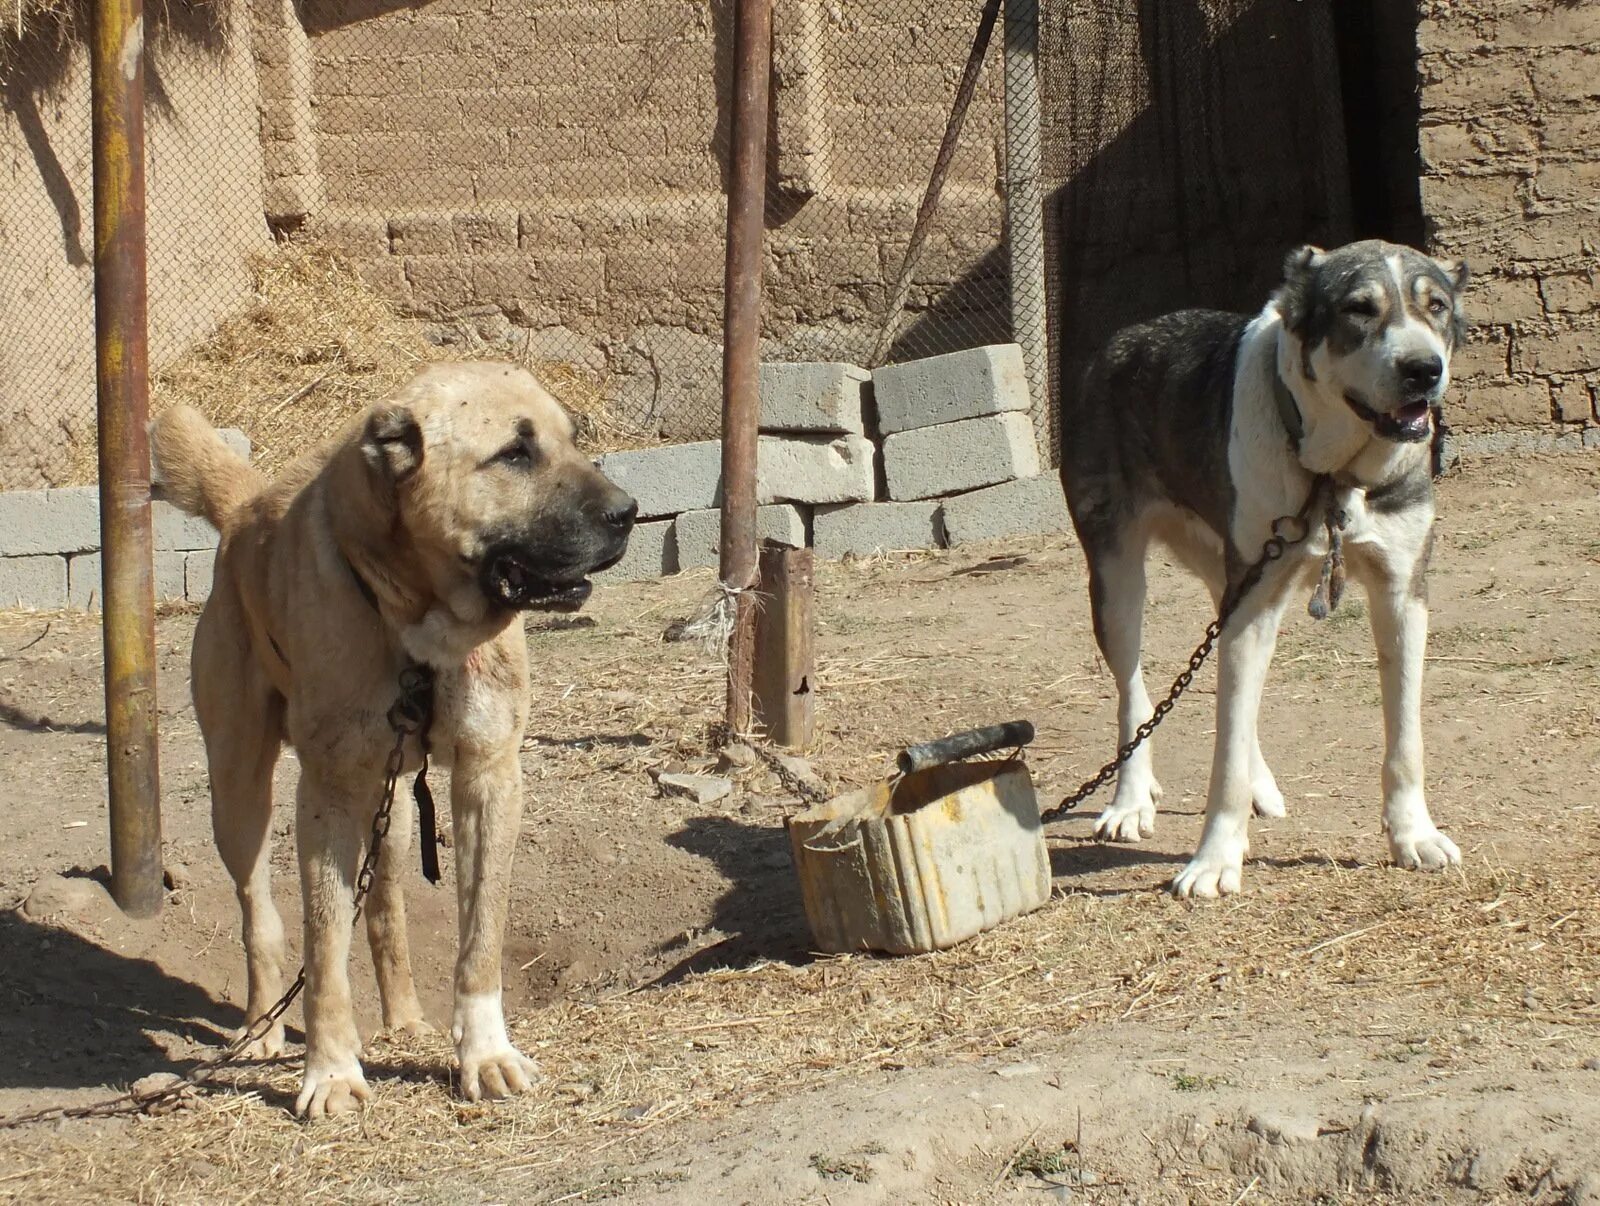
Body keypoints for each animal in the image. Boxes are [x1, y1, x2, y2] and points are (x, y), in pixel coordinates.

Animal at [151, 361, 636, 1113]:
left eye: (572, 440)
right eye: (515, 453)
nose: (629, 513)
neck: (417, 622)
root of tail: (244, 506)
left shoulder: (489, 777)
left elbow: (479, 939)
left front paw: (484, 1054)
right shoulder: (325, 795)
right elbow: (323, 950)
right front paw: (330, 1071)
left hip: (398, 809)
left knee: (384, 908)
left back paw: (405, 1019)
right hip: (239, 792)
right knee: (260, 912)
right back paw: (261, 1029)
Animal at [1062, 239, 1472, 895]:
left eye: (1435, 307)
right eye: (1358, 309)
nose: (1424, 370)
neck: (1332, 475)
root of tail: (1123, 338)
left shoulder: (1402, 594)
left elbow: (1405, 738)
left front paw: (1414, 835)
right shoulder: (1252, 605)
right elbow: (1222, 755)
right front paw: (1213, 862)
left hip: (1228, 581)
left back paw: (1259, 786)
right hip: (1120, 584)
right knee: (1134, 695)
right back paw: (1129, 801)